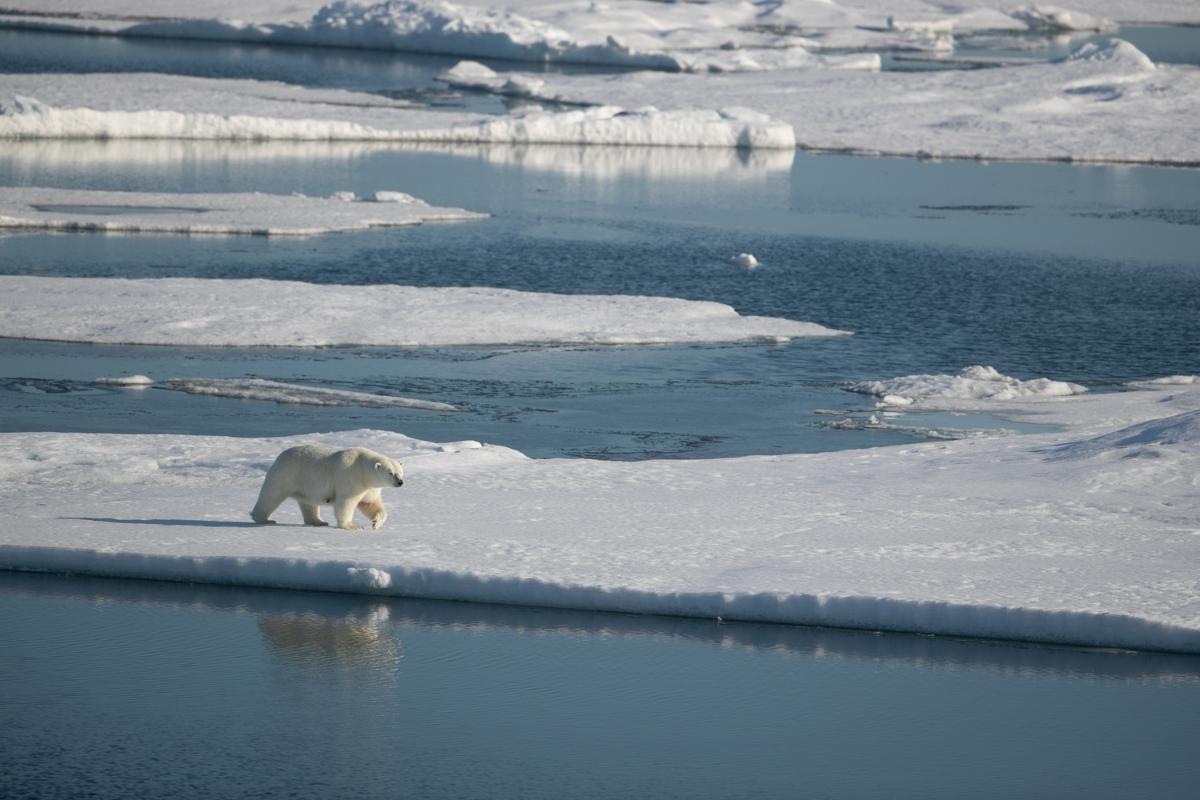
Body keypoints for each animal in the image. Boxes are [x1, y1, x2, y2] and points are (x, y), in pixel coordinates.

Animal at [250, 443, 405, 532]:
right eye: (390, 473)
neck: (362, 468)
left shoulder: (369, 487)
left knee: (308, 503)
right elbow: (346, 503)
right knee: (271, 495)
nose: (400, 482)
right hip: (287, 474)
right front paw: (352, 526)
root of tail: (280, 456)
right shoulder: (351, 478)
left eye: (400, 472)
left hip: (305, 483)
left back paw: (319, 521)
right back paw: (264, 519)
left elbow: (371, 504)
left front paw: (376, 523)